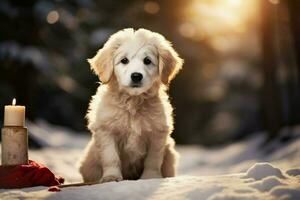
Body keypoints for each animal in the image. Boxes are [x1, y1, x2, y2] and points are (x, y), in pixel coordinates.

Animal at [78, 27, 183, 183]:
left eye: (147, 61)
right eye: (124, 60)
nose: (136, 76)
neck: (133, 102)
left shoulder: (157, 133)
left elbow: (153, 159)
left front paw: (150, 177)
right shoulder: (106, 130)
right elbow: (111, 157)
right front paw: (111, 177)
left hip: (170, 154)